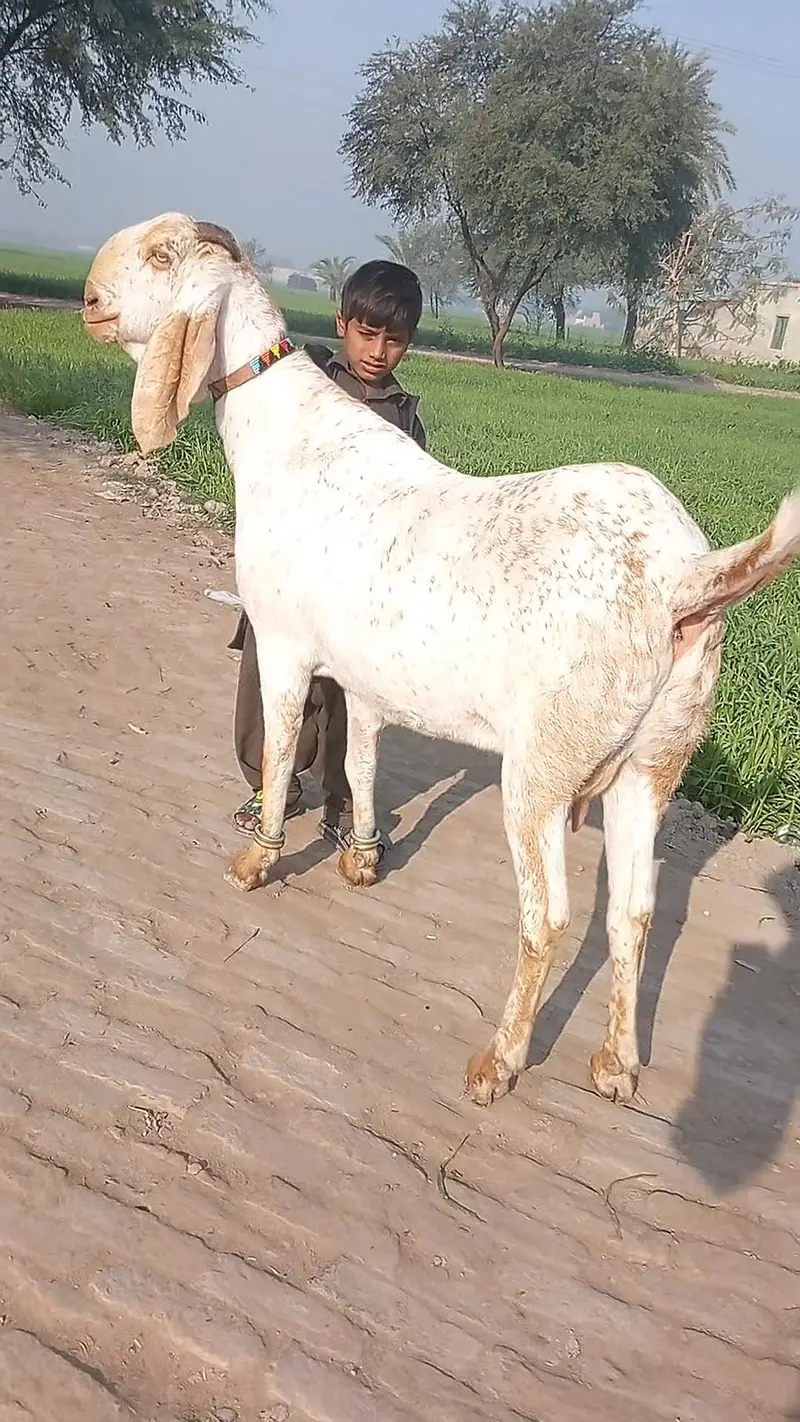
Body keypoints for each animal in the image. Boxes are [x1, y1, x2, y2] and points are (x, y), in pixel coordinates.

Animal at [83, 213, 800, 1108]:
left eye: (159, 255)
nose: (89, 299)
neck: (284, 432)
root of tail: (683, 578)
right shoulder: (361, 674)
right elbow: (359, 760)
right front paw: (360, 856)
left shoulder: (283, 644)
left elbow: (282, 752)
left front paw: (258, 858)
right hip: (655, 760)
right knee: (633, 911)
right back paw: (615, 1063)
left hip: (543, 764)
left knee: (549, 915)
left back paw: (500, 1060)